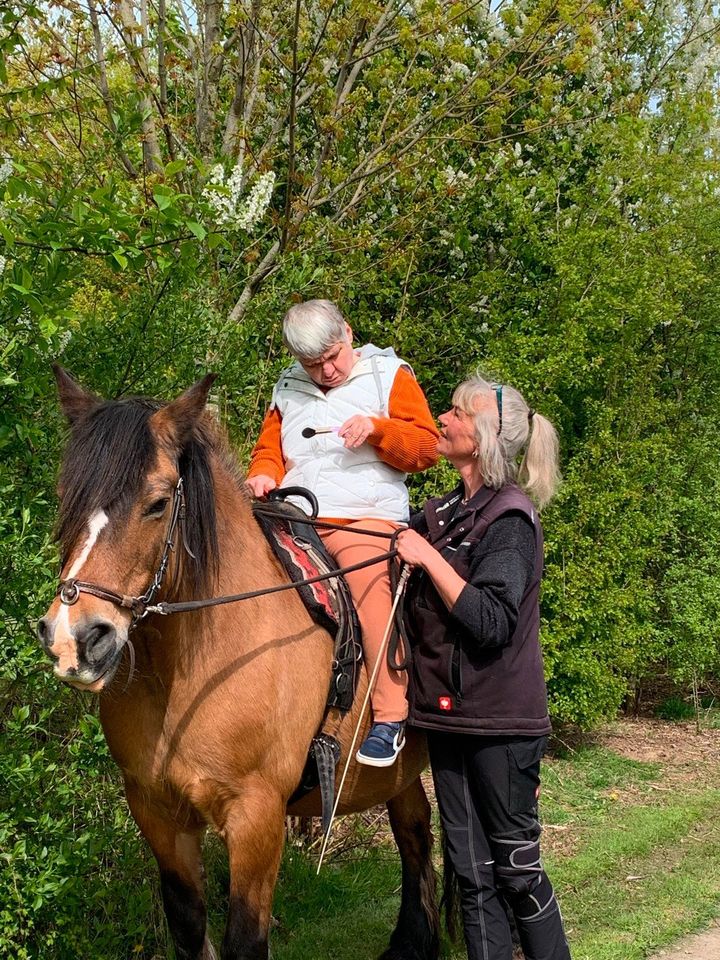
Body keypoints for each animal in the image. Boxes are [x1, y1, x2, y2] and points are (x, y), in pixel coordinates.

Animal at [36, 368, 438, 960]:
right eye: (68, 496)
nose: (76, 638)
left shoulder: (256, 819)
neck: (194, 666)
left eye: (158, 503)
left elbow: (246, 937)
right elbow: (187, 927)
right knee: (415, 833)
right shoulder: (158, 814)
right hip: (401, 777)